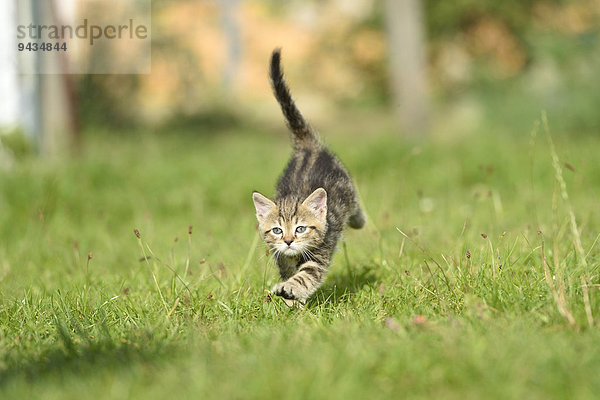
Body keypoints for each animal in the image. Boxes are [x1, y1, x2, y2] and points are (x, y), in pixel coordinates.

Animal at [252, 47, 366, 304]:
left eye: (301, 229)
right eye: (277, 230)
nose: (288, 241)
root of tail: (307, 147)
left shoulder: (321, 252)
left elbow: (306, 276)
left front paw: (291, 289)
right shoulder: (282, 258)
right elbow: (289, 273)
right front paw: (292, 301)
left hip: (346, 187)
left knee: (355, 205)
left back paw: (359, 220)